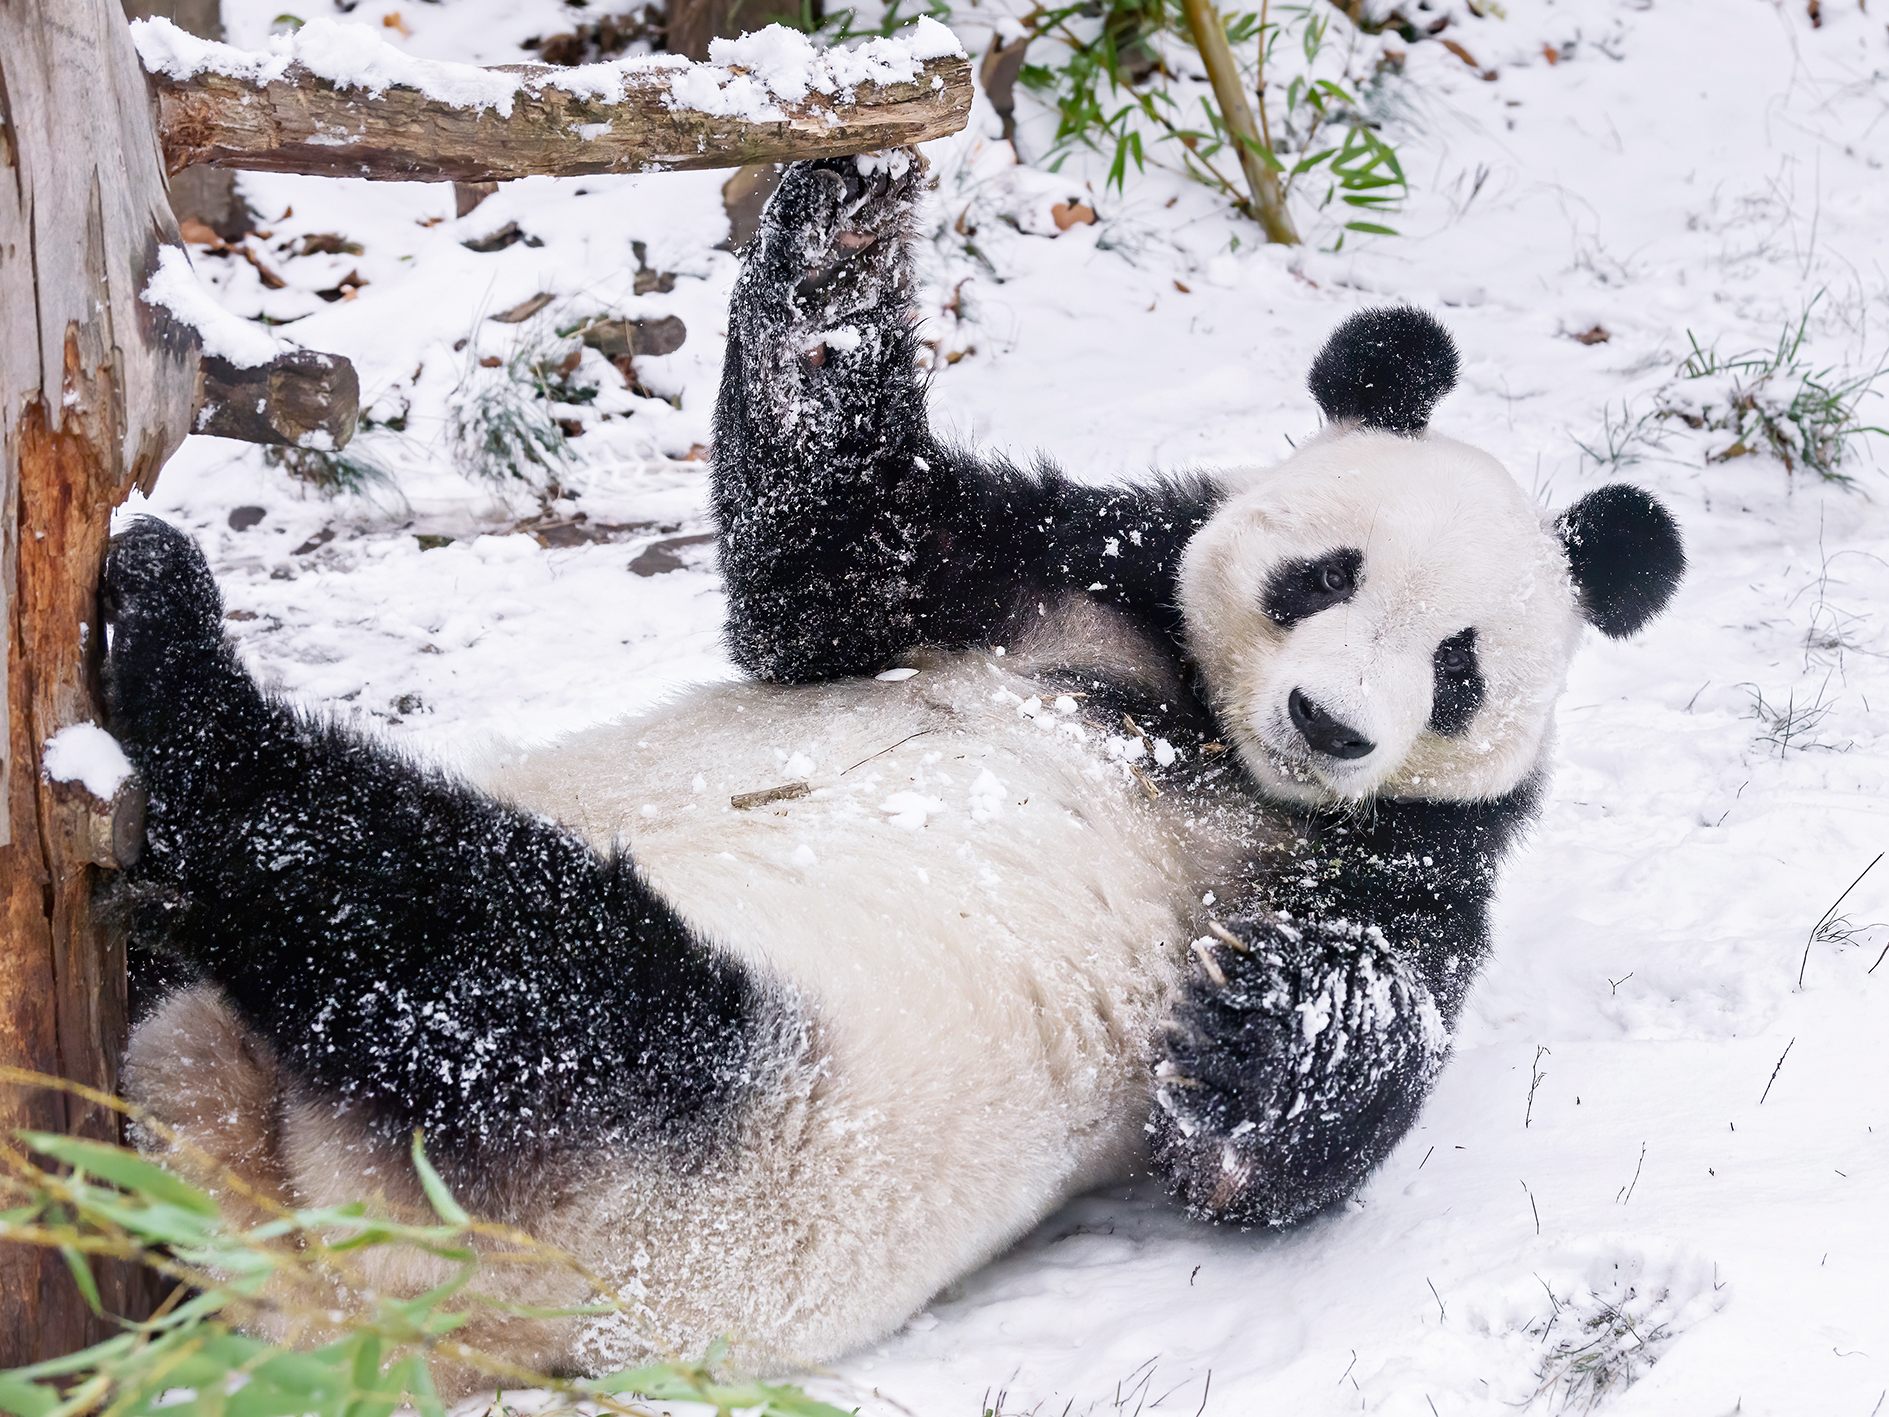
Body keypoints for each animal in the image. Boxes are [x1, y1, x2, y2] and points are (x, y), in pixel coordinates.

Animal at [107, 150, 1684, 1390]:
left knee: (481, 954)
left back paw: (174, 654)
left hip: (668, 1137)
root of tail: (327, 1267)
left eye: (1457, 668)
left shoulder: (1404, 854)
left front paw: (1240, 1029)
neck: (1204, 738)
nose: (1334, 723)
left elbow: (1293, 1131)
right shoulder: (1070, 579)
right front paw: (842, 225)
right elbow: (831, 560)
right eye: (1322, 575)